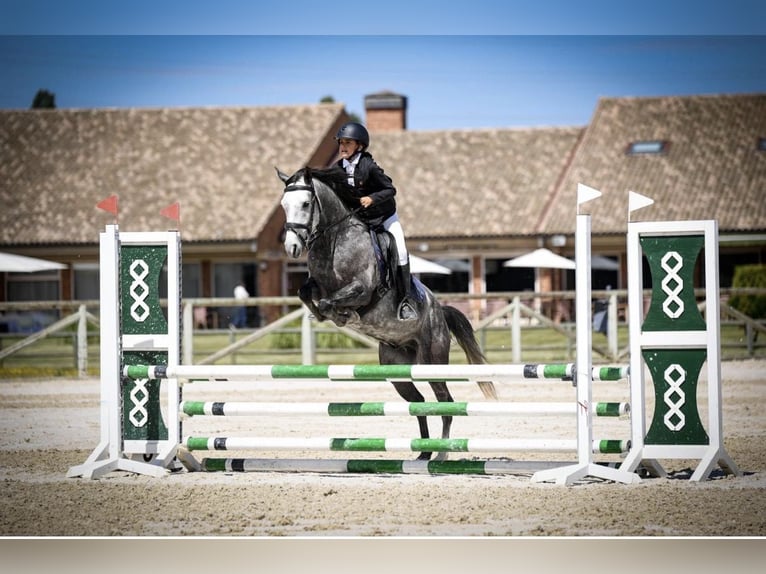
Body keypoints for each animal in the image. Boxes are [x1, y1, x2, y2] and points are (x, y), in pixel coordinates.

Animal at [277, 165, 496, 461]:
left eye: (305, 203)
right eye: (283, 205)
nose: (292, 248)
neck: (334, 240)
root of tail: (439, 311)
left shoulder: (362, 288)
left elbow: (331, 302)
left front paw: (344, 315)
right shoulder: (316, 284)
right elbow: (306, 293)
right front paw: (326, 316)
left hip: (433, 360)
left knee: (445, 402)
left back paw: (441, 455)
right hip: (398, 370)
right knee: (419, 403)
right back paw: (424, 454)